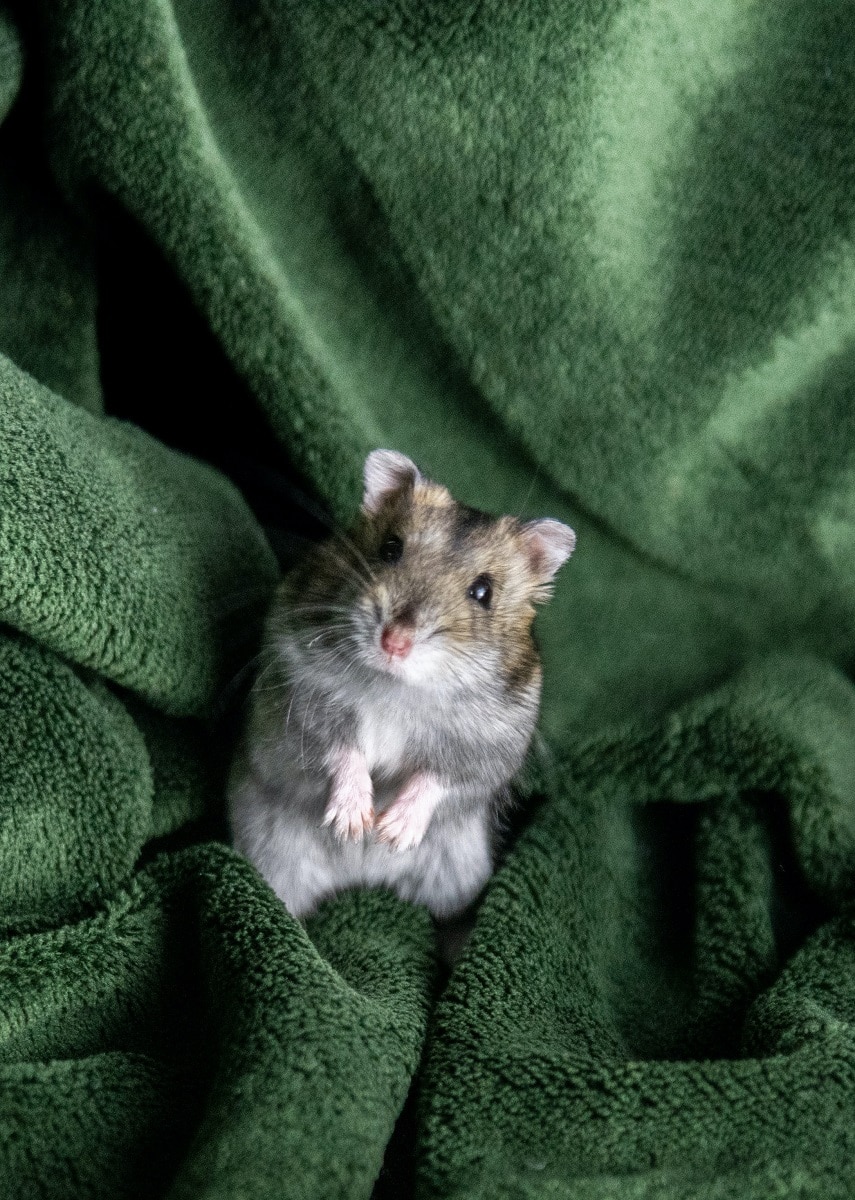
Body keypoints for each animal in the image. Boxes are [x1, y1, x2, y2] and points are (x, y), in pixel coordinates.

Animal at [226, 453, 574, 921]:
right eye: (391, 549)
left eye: (483, 592)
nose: (394, 642)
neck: (395, 689)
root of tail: (360, 879)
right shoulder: (298, 698)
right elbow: (340, 749)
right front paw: (354, 824)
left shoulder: (490, 745)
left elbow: (439, 776)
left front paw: (391, 832)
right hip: (273, 857)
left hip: (459, 873)